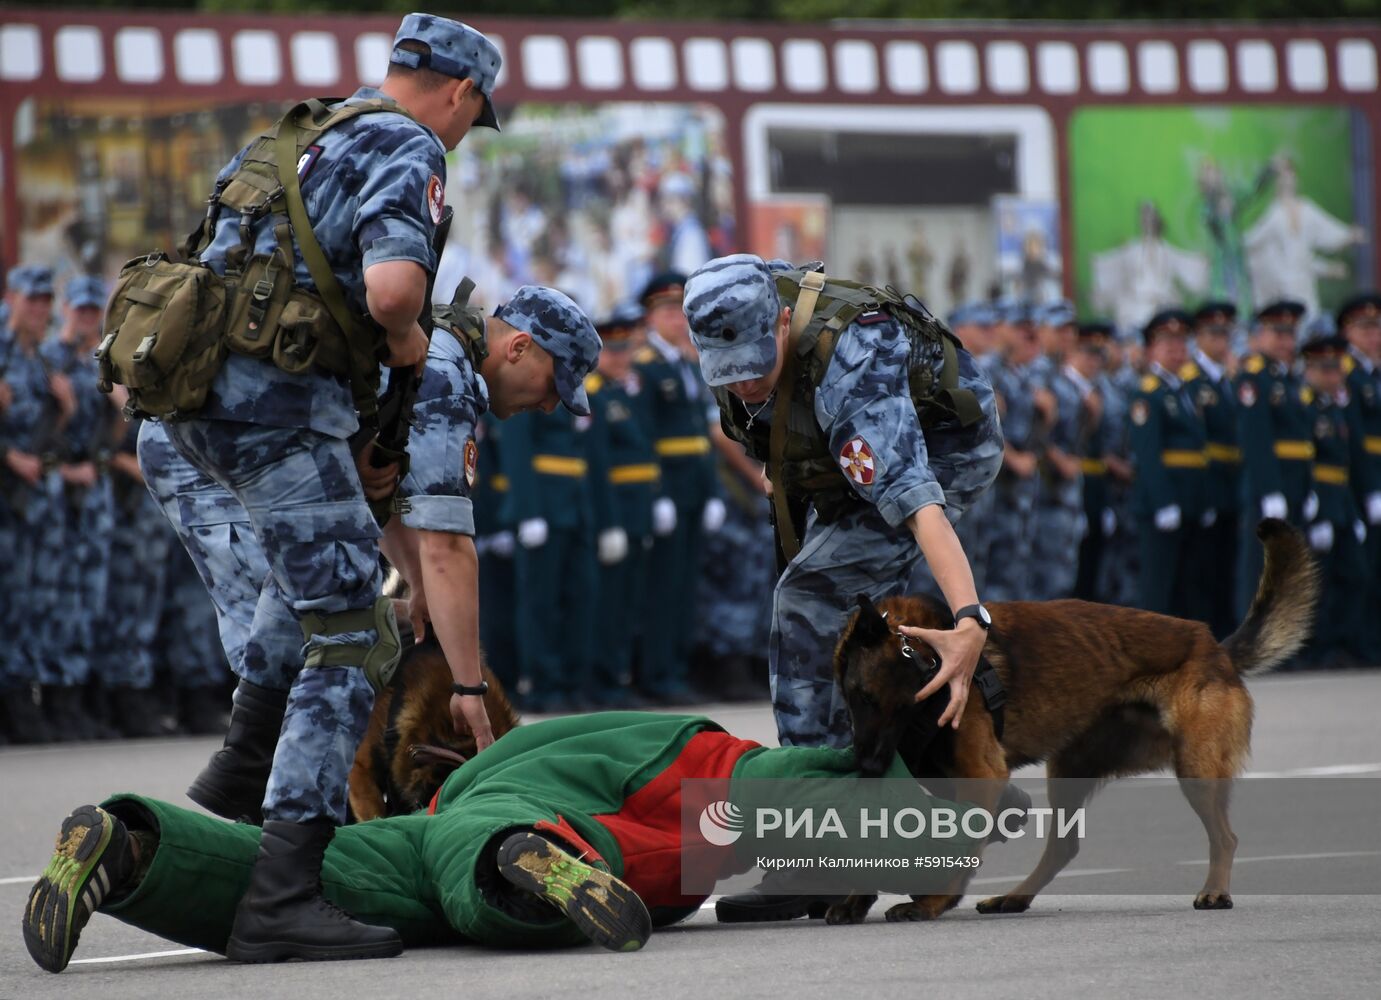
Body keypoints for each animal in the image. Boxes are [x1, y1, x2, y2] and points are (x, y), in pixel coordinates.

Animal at [823, 519, 1320, 928]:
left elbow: (959, 848)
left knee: (1225, 836)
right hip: (1068, 769)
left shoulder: (981, 774)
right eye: (858, 700)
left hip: (1195, 768)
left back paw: (1215, 890)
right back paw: (1014, 897)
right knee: (1064, 846)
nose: (868, 766)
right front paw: (857, 898)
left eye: (903, 703)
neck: (930, 658)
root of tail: (1216, 647)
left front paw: (931, 903)